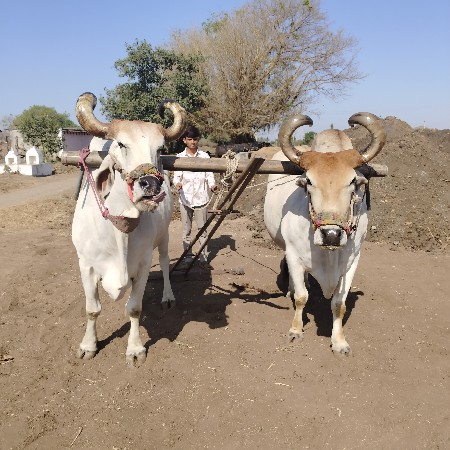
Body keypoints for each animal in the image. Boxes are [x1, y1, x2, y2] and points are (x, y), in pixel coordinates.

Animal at [72, 92, 187, 365]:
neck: (119, 231)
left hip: (164, 237)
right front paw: (88, 344)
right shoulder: (86, 265)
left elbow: (134, 308)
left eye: (160, 149)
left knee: (165, 264)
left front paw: (135, 349)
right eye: (121, 145)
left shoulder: (143, 265)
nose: (151, 185)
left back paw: (167, 296)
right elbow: (92, 310)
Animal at [264, 113, 386, 354]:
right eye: (309, 181)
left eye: (353, 181)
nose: (331, 234)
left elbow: (339, 304)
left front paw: (339, 341)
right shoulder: (294, 255)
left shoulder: (352, 261)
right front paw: (296, 330)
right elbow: (301, 297)